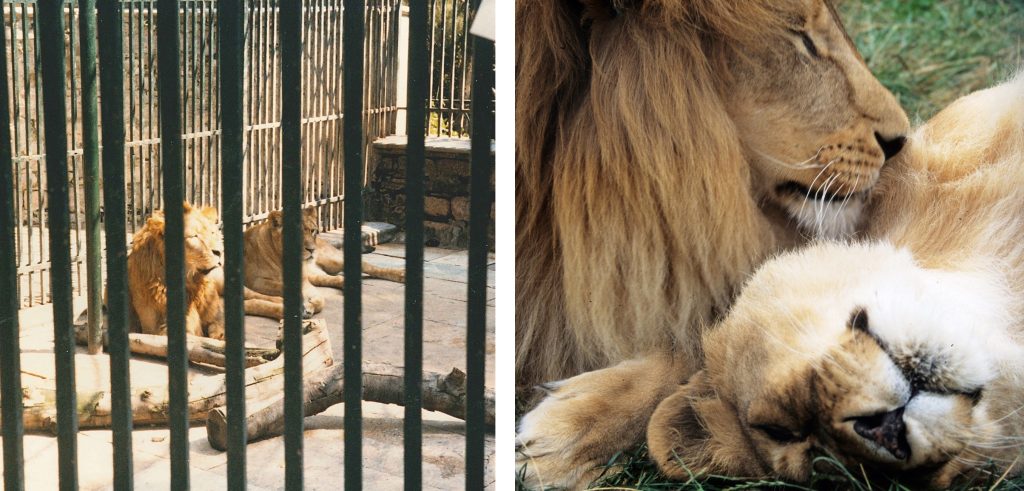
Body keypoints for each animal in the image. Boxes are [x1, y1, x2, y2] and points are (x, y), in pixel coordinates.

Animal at [126, 201, 226, 340]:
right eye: (194, 236)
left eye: (212, 233)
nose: (220, 251)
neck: (192, 284)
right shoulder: (156, 328)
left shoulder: (215, 318)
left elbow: (218, 328)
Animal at [241, 207, 405, 319]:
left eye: (313, 230)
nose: (311, 249)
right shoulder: (257, 282)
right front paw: (306, 307)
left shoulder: (303, 281)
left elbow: (320, 300)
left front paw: (309, 306)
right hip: (316, 274)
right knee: (337, 278)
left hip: (333, 259)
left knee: (371, 267)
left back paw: (401, 274)